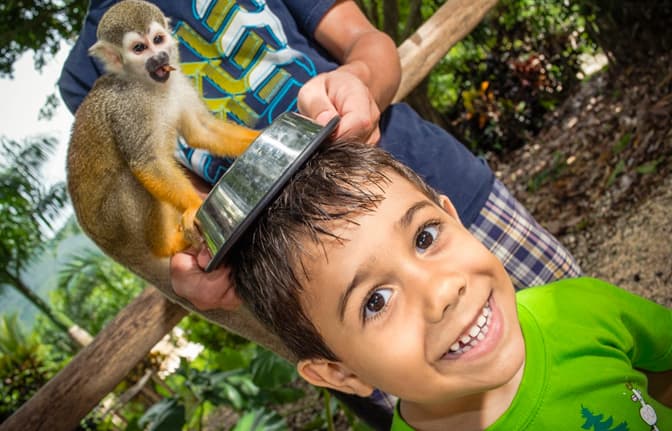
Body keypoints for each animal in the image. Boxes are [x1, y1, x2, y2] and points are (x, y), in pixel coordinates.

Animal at [66, 0, 261, 275]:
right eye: (139, 48)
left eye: (158, 40)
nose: (160, 57)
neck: (149, 85)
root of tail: (110, 250)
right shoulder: (128, 110)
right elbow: (147, 162)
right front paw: (195, 206)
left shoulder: (177, 80)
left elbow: (200, 130)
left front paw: (263, 136)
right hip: (117, 228)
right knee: (129, 178)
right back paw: (165, 246)